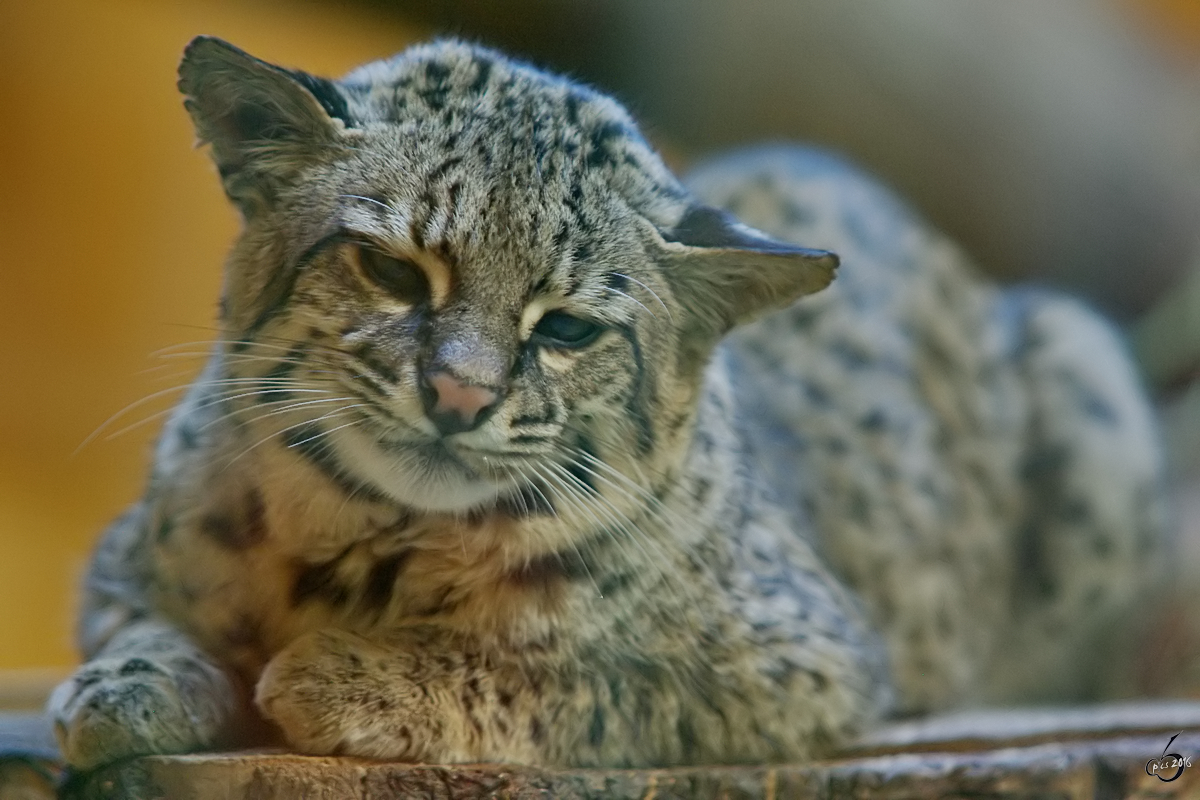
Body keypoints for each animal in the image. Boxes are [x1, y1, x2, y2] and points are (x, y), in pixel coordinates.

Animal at [46, 35, 1161, 767]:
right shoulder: (122, 555)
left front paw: (353, 675)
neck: (368, 530)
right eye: (392, 271)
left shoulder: (813, 660)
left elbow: (589, 679)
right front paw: (124, 687)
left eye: (569, 331)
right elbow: (144, 616)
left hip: (1086, 368)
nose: (458, 393)